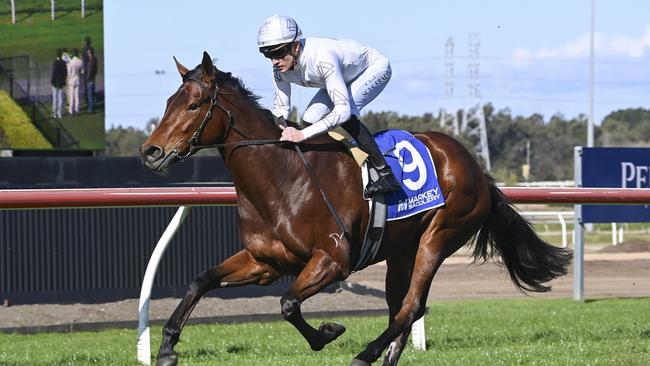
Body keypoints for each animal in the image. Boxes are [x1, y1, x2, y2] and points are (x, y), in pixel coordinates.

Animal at [139, 52, 568, 366]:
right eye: (168, 102)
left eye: (194, 105)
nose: (151, 152)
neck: (282, 178)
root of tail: (474, 166)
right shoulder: (265, 262)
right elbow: (200, 281)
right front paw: (167, 348)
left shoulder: (333, 260)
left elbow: (288, 304)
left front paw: (328, 333)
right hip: (401, 250)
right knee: (403, 308)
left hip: (439, 237)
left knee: (410, 306)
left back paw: (365, 355)